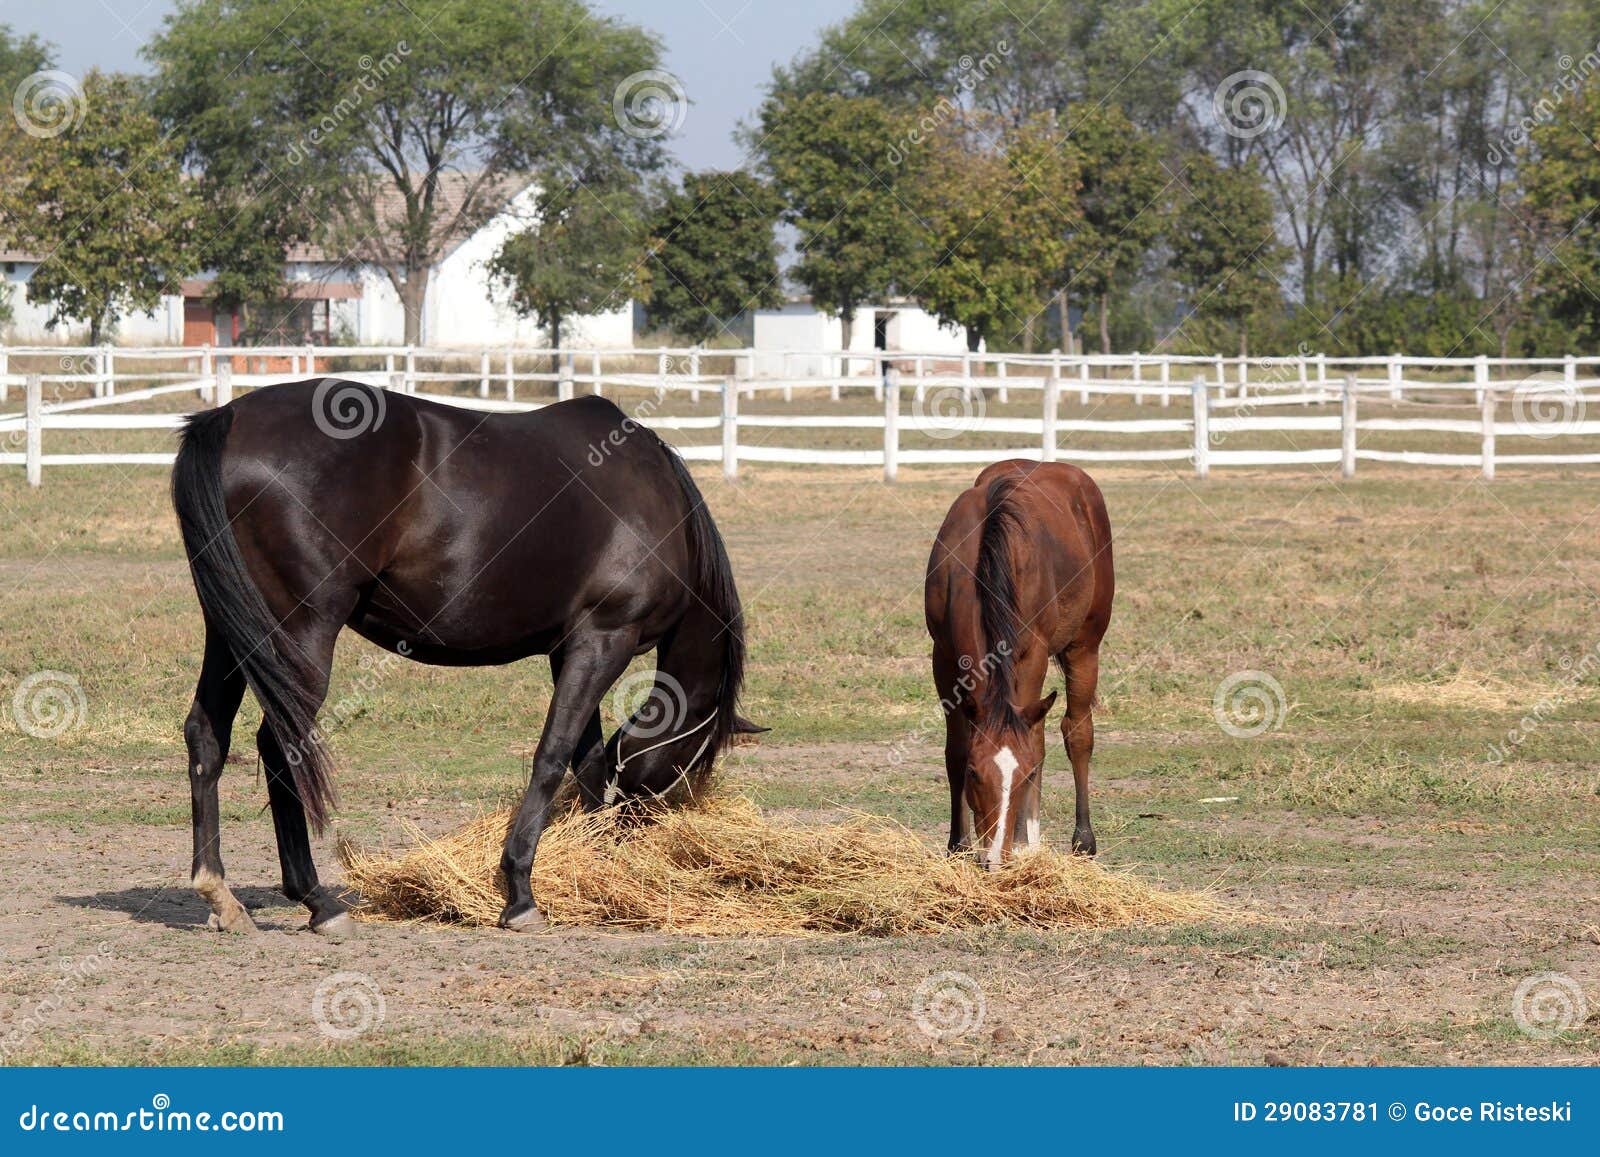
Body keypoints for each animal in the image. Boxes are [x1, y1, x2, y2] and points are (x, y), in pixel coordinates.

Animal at [171, 379, 760, 936]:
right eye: (692, 763)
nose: (639, 825)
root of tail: (228, 417)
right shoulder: (604, 640)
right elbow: (552, 757)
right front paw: (520, 890)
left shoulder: (571, 649)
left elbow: (587, 761)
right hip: (301, 634)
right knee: (279, 746)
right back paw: (319, 901)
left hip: (230, 632)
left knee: (206, 734)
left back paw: (220, 894)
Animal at [924, 460, 1114, 869]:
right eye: (974, 773)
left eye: (1025, 777)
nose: (995, 859)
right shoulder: (942, 658)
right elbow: (955, 748)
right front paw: (958, 845)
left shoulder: (1032, 657)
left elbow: (1037, 745)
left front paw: (1024, 840)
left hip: (1084, 646)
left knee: (1076, 732)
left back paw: (1078, 840)